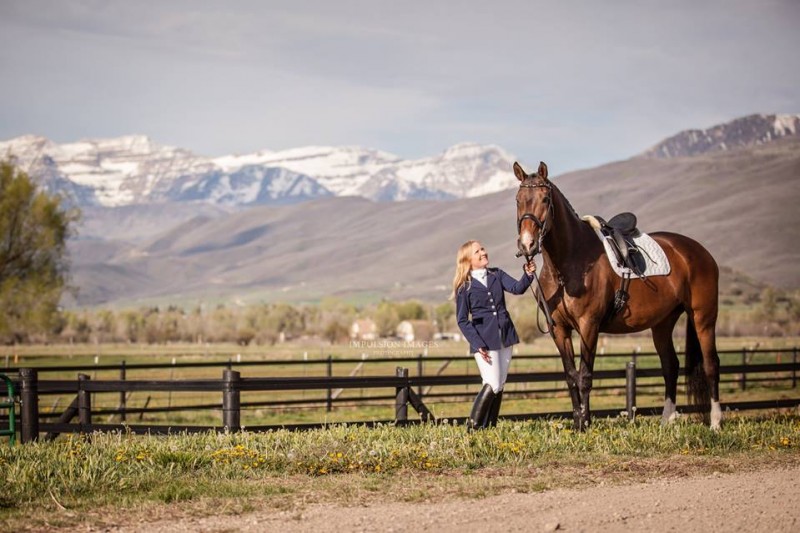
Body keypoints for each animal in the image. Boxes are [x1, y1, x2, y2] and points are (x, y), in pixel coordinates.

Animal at [513, 161, 722, 431]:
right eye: (518, 200)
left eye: (546, 199)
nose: (527, 245)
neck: (568, 264)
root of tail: (699, 251)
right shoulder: (559, 329)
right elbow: (571, 376)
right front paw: (578, 422)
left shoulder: (589, 325)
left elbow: (585, 376)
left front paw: (585, 424)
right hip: (663, 323)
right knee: (670, 366)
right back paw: (666, 421)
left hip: (703, 318)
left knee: (711, 364)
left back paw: (715, 422)